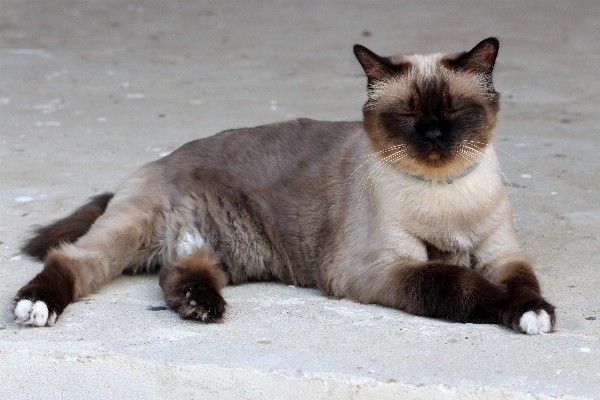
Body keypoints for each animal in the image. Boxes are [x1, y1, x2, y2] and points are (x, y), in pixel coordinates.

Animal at [14, 38, 556, 334]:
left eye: (456, 112)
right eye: (407, 115)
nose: (434, 135)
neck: (443, 193)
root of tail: (163, 158)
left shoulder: (503, 254)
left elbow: (522, 285)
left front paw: (532, 314)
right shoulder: (383, 268)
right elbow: (458, 283)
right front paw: (512, 310)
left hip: (222, 250)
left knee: (176, 271)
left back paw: (201, 306)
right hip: (132, 233)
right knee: (70, 260)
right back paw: (34, 308)